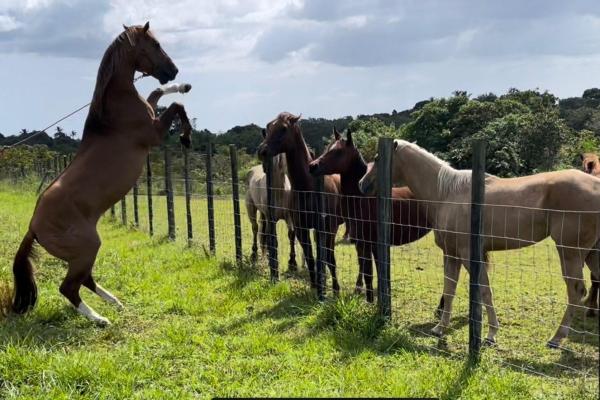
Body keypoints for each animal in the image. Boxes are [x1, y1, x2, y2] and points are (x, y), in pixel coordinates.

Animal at [9, 21, 192, 324]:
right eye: (154, 44)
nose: (173, 71)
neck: (115, 107)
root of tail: (33, 227)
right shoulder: (154, 133)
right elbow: (177, 107)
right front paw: (186, 137)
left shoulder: (151, 112)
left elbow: (158, 95)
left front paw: (183, 86)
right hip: (87, 247)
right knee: (69, 287)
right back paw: (100, 319)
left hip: (81, 255)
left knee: (84, 280)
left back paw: (115, 302)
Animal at [310, 130, 432, 302]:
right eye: (328, 149)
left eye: (339, 152)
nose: (313, 166)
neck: (363, 198)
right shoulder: (362, 242)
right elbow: (371, 270)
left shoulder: (370, 243)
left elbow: (370, 272)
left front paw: (370, 300)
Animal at [360, 140, 600, 346]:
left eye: (378, 158)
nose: (362, 185)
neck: (447, 194)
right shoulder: (452, 254)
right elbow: (450, 289)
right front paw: (440, 328)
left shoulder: (468, 255)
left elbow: (484, 291)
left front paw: (491, 334)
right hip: (591, 254)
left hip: (570, 253)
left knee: (576, 291)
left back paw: (557, 338)